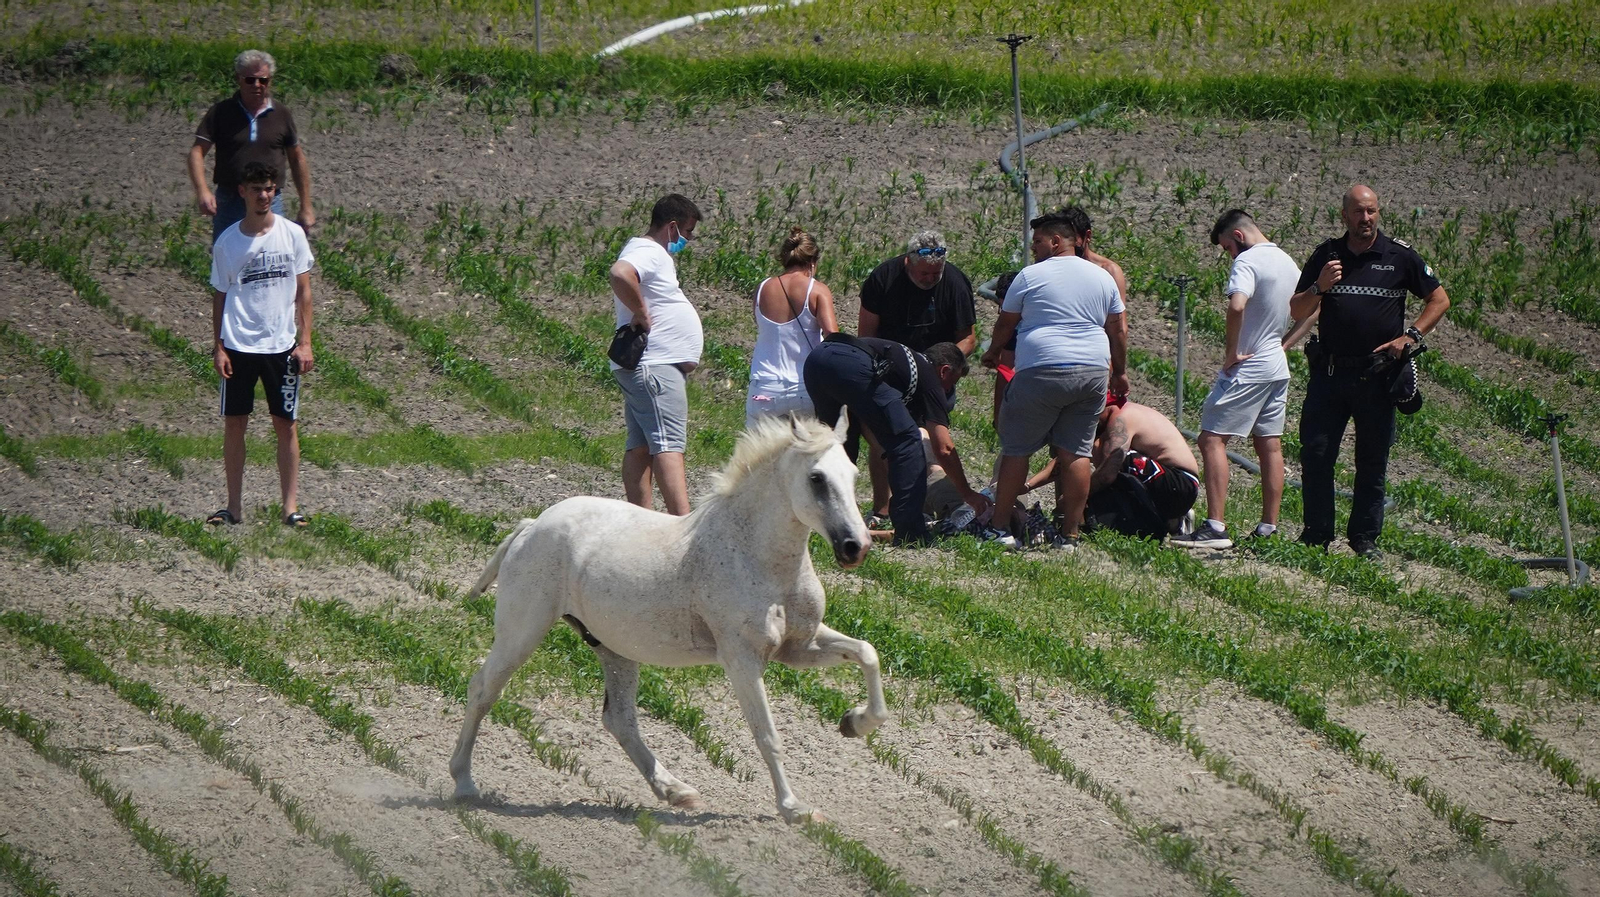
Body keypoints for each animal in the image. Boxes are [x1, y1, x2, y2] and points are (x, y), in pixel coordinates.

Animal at [449, 411, 888, 823]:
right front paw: (794, 809)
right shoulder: (742, 660)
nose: (856, 547)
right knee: (483, 689)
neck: (759, 559)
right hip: (521, 633)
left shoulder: (800, 647)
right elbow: (767, 735)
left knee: (620, 719)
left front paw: (854, 723)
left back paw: (676, 791)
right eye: (816, 478)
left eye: (852, 475)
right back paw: (465, 783)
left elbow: (867, 653)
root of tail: (530, 526)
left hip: (613, 648)